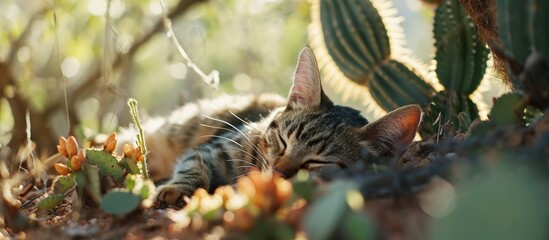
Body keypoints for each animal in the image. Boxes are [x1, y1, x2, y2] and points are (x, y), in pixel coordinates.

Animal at [147, 47, 420, 206]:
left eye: (317, 162)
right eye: (283, 140)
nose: (278, 172)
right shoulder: (213, 148)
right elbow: (193, 165)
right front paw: (176, 188)